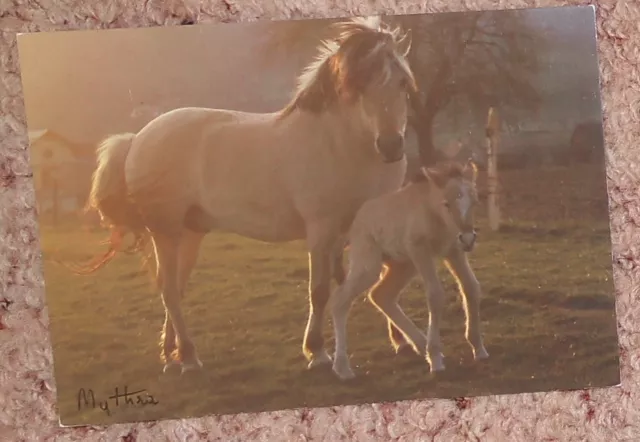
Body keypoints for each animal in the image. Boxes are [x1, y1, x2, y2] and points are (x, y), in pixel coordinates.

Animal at [330, 161, 490, 382]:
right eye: (446, 204)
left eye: (474, 202)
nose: (468, 238)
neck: (431, 212)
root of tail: (355, 219)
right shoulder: (419, 250)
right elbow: (435, 295)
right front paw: (435, 360)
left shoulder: (454, 251)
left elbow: (471, 288)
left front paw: (479, 349)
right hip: (369, 264)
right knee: (340, 301)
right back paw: (343, 367)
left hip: (404, 265)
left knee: (381, 295)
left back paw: (419, 344)